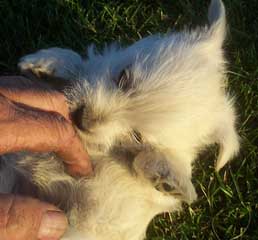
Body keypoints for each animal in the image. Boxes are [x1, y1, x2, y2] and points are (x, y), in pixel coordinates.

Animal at [0, 0, 240, 239]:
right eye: (123, 77)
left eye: (137, 136)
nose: (81, 119)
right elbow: (82, 63)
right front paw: (46, 63)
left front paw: (170, 176)